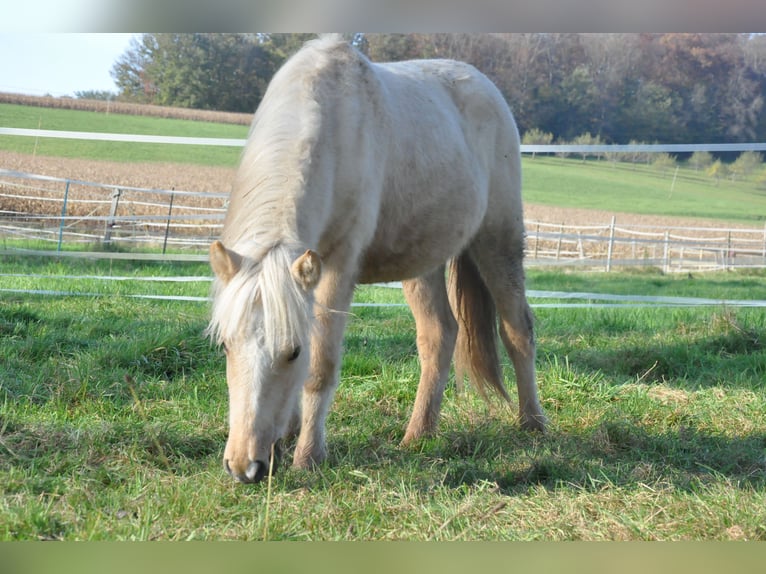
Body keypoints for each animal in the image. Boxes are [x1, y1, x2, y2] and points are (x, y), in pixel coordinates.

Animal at [208, 35, 544, 486]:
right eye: (225, 345)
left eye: (293, 352)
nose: (245, 467)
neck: (328, 126)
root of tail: (486, 86)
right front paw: (288, 436)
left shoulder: (337, 266)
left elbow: (321, 365)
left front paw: (308, 455)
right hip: (423, 261)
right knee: (439, 335)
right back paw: (419, 434)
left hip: (497, 241)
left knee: (517, 329)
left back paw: (533, 424)